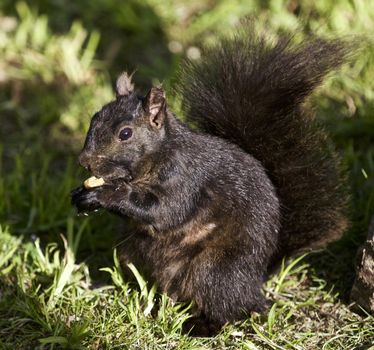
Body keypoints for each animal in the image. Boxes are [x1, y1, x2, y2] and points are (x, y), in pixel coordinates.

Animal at [71, 28, 350, 334]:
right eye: (94, 119)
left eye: (125, 134)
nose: (84, 161)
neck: (156, 157)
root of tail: (255, 281)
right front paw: (82, 196)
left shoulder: (186, 180)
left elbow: (165, 210)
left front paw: (109, 194)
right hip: (131, 251)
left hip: (214, 270)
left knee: (228, 310)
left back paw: (199, 327)